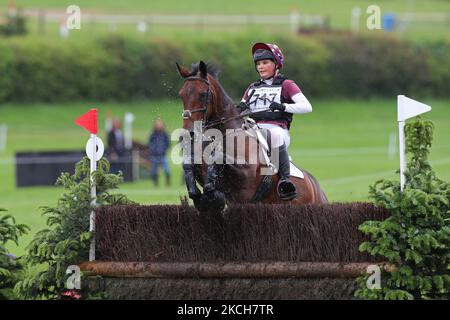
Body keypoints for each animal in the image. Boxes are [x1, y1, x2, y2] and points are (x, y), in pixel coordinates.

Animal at [176, 62, 326, 212]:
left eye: (202, 94)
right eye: (181, 95)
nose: (187, 133)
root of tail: (315, 186)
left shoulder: (247, 176)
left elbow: (219, 160)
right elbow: (190, 168)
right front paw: (202, 197)